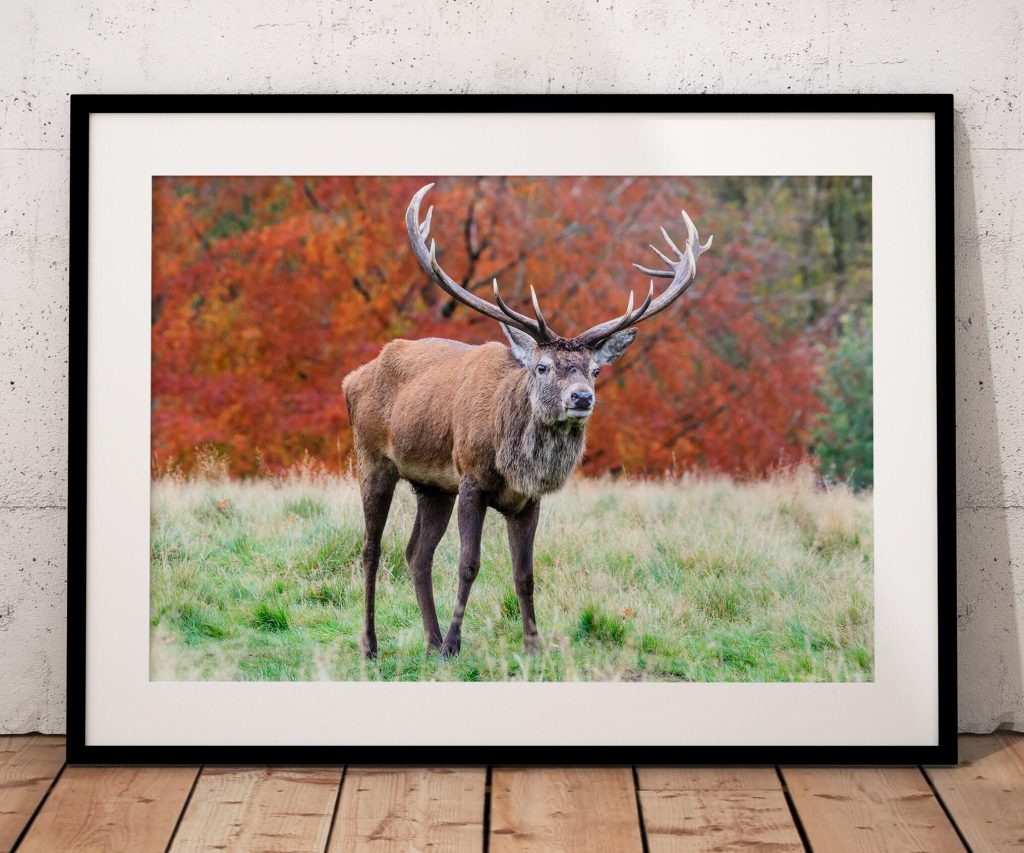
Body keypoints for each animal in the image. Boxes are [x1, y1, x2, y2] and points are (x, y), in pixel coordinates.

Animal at [342, 184, 712, 659]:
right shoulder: (471, 478)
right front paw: (455, 647)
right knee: (371, 549)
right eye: (542, 366)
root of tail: (351, 379)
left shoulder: (528, 501)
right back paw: (372, 645)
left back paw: (430, 640)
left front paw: (533, 646)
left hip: (432, 486)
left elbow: (526, 574)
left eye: (595, 370)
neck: (513, 461)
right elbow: (468, 563)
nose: (581, 398)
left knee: (416, 554)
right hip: (372, 458)